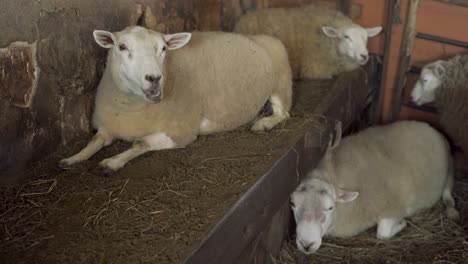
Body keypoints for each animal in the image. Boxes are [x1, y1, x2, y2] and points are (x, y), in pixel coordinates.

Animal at [58, 26, 292, 175]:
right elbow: (95, 141)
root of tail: (257, 37)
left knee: (283, 113)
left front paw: (113, 162)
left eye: (163, 49)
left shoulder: (181, 131)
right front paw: (73, 158)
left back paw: (263, 123)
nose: (154, 78)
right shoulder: (108, 125)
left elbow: (141, 142)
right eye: (122, 47)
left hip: (281, 83)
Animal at [290, 120, 458, 255]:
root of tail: (430, 127)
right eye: (292, 204)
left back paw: (451, 210)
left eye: (330, 207)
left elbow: (382, 233)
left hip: (450, 169)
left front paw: (402, 224)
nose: (306, 244)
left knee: (447, 192)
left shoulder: (393, 207)